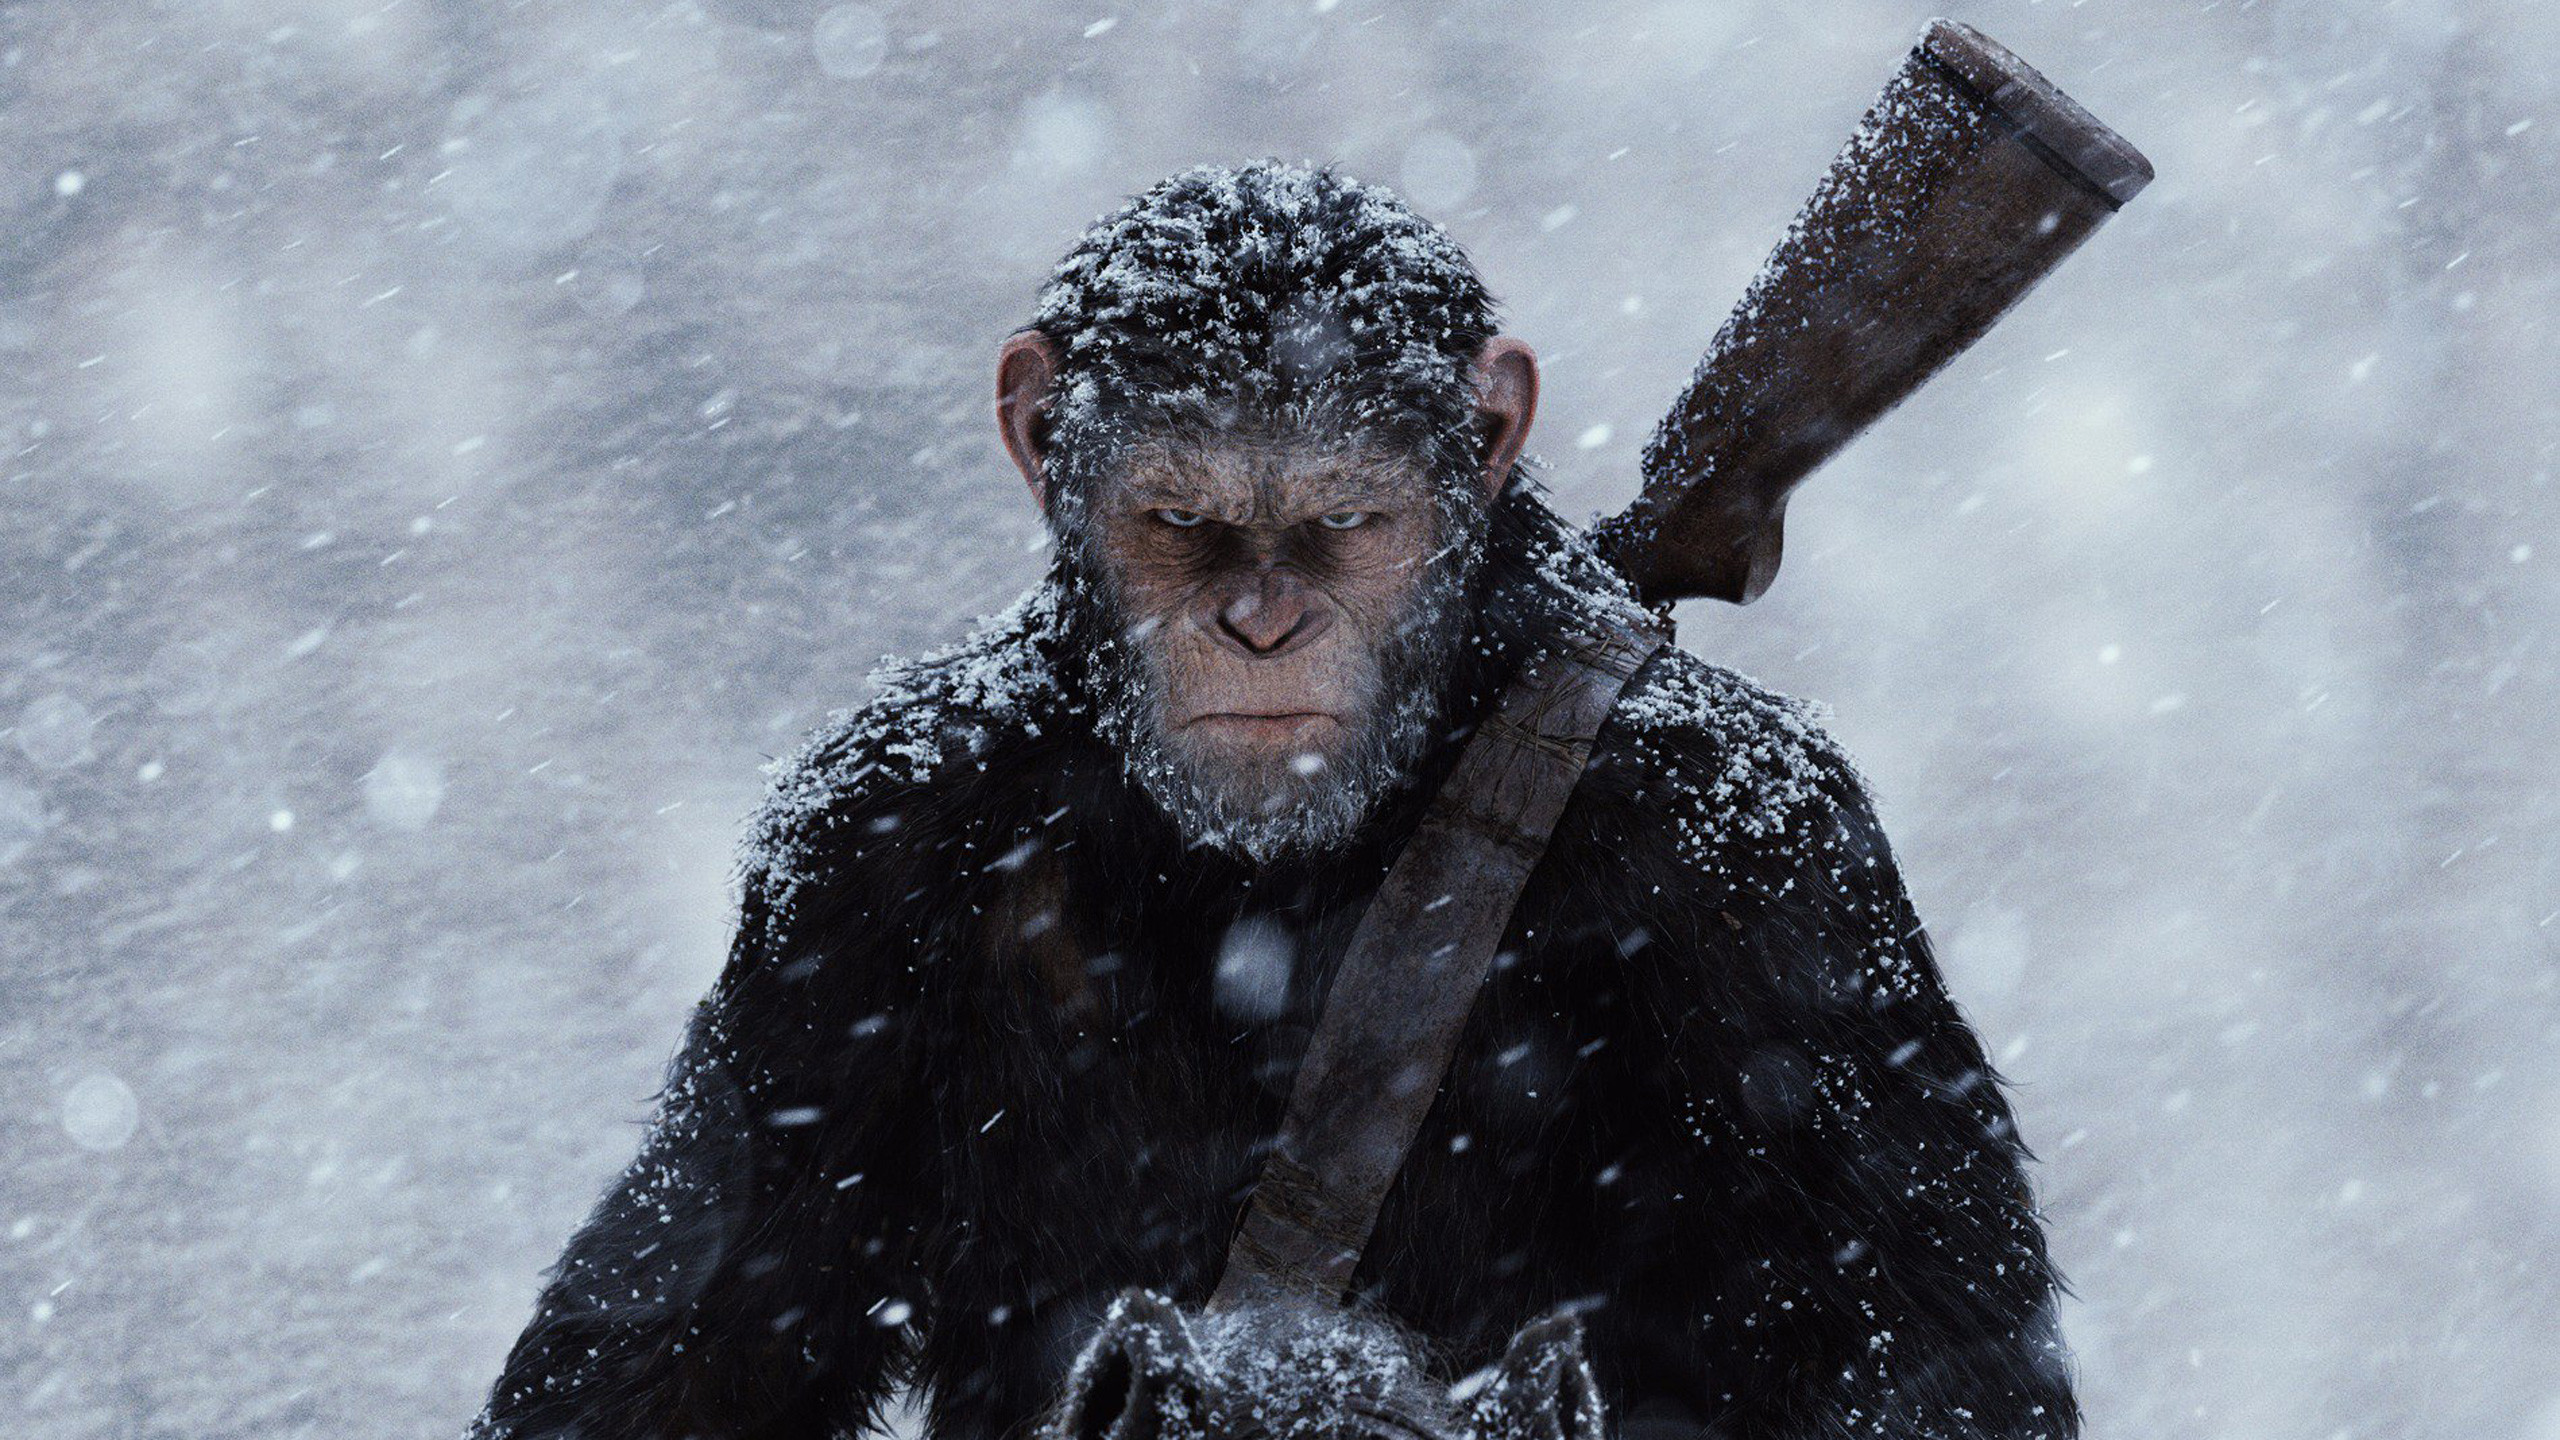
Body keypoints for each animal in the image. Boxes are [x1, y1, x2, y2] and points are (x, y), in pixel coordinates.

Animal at [465, 161, 2077, 1440]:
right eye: (1176, 513)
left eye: (1350, 513)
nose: (1260, 626)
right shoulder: (846, 855)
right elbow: (714, 1314)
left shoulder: (1761, 857)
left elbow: (1919, 1338)